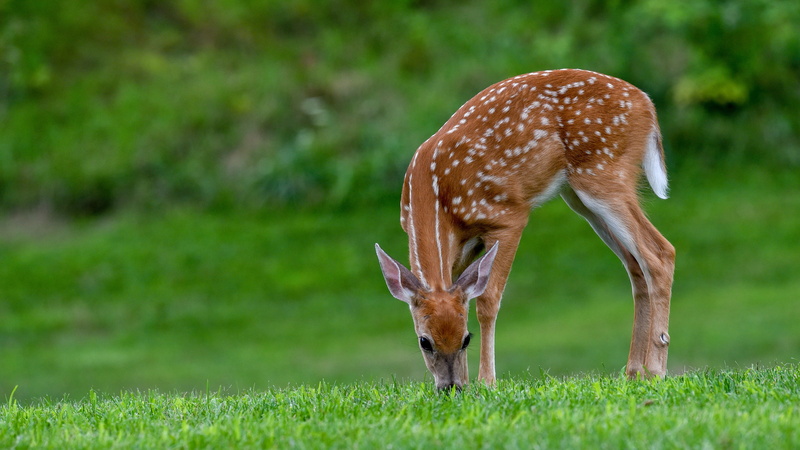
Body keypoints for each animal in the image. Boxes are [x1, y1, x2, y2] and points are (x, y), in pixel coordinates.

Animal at [375, 69, 675, 391]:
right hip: (580, 197)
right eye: (424, 342)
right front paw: (470, 381)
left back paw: (656, 369)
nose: (451, 387)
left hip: (603, 174)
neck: (436, 198)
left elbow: (487, 302)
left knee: (660, 253)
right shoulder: (463, 248)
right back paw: (634, 371)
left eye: (466, 339)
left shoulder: (507, 216)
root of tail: (647, 105)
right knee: (635, 265)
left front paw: (487, 381)